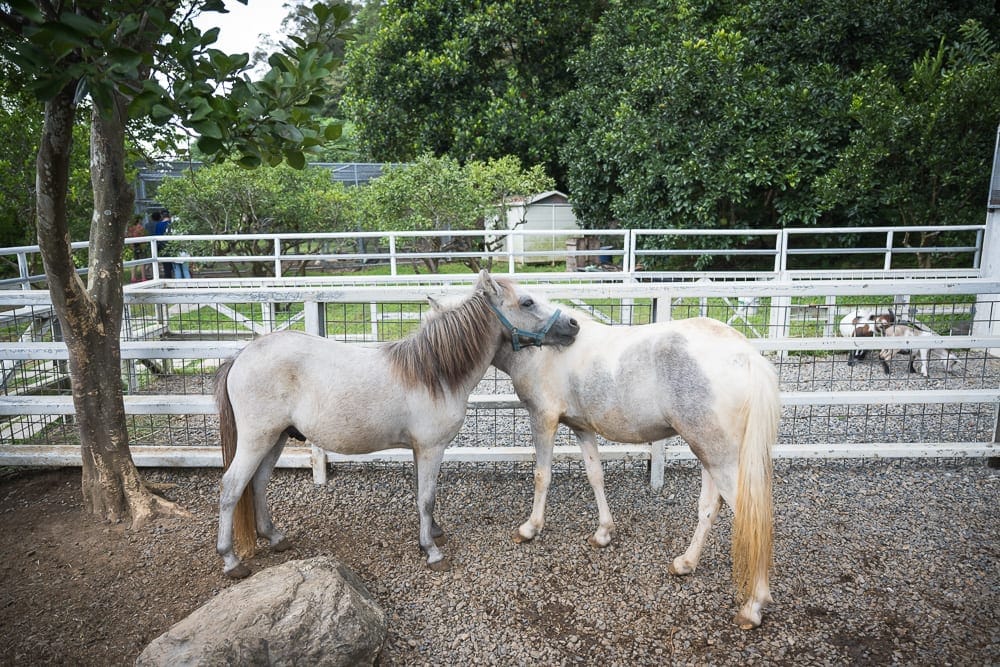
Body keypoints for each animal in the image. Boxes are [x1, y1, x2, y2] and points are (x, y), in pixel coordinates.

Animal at [214, 270, 580, 578]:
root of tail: (241, 356)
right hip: (257, 439)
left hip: (276, 438)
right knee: (231, 487)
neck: (436, 373)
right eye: (527, 302)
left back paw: (275, 537)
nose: (574, 324)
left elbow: (423, 494)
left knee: (258, 483)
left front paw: (432, 533)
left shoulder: (420, 449)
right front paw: (431, 551)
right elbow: (427, 497)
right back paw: (231, 560)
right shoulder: (431, 448)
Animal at [483, 304, 781, 629]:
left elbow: (542, 475)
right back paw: (685, 563)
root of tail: (747, 355)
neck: (541, 348)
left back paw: (753, 606)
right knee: (709, 508)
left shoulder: (543, 419)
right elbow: (594, 474)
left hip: (722, 459)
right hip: (710, 453)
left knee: (753, 518)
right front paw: (603, 532)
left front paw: (529, 528)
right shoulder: (581, 426)